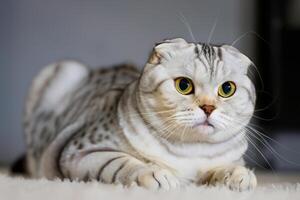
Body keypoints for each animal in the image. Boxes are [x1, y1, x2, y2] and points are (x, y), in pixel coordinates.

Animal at [24, 38, 258, 191]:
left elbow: (223, 167)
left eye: (227, 89)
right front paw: (155, 174)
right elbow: (121, 162)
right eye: (183, 85)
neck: (191, 151)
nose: (208, 108)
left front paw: (238, 174)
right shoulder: (81, 150)